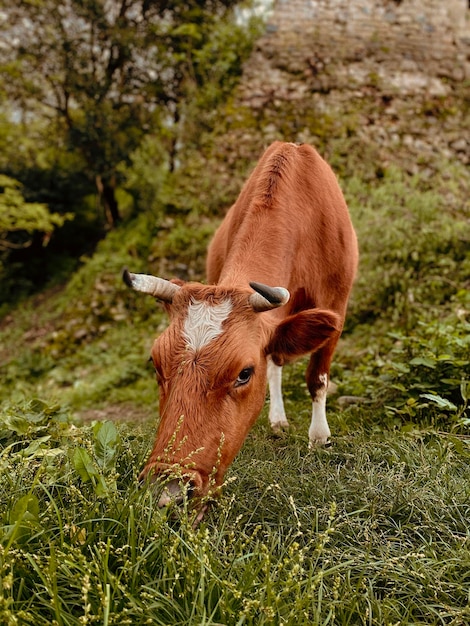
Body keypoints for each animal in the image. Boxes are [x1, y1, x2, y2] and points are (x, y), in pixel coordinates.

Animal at [123, 143, 358, 516]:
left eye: (244, 373)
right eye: (155, 364)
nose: (169, 490)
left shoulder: (336, 303)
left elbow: (317, 378)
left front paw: (319, 436)